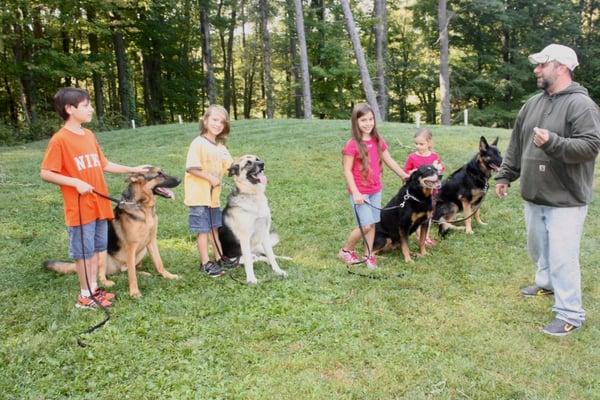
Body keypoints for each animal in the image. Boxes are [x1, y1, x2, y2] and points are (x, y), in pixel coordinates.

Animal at [44, 166, 180, 296]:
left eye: (163, 172)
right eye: (159, 174)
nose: (180, 180)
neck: (142, 207)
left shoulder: (151, 241)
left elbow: (159, 263)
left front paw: (168, 275)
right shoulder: (131, 246)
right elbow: (132, 275)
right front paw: (134, 292)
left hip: (142, 251)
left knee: (126, 271)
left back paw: (143, 273)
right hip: (102, 252)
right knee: (103, 274)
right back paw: (106, 282)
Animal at [218, 154, 288, 284]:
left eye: (258, 159)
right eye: (248, 163)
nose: (262, 164)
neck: (253, 195)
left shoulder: (264, 233)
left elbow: (271, 255)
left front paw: (278, 271)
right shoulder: (245, 237)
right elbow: (249, 263)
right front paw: (251, 279)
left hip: (259, 245)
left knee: (269, 256)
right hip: (246, 255)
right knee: (257, 258)